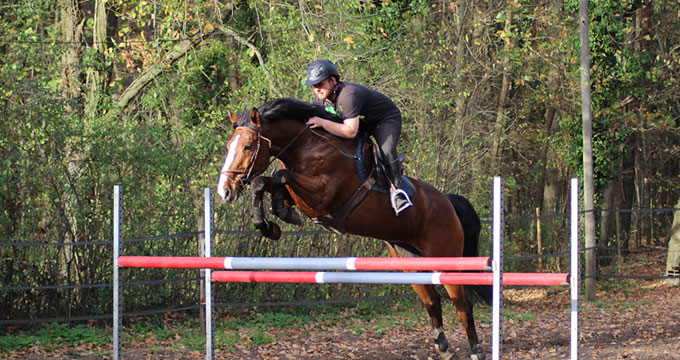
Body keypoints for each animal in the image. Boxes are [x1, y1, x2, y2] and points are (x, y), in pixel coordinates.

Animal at [216, 98, 488, 360]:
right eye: (229, 146)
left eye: (248, 147)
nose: (224, 191)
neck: (308, 146)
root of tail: (448, 202)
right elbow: (266, 183)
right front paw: (271, 222)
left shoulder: (322, 196)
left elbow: (280, 176)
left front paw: (275, 217)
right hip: (409, 259)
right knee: (432, 300)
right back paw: (443, 347)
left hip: (446, 257)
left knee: (462, 304)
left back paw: (476, 350)